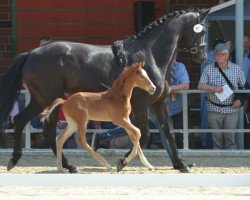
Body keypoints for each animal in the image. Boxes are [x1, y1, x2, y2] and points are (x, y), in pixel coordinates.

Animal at [0, 8, 209, 173]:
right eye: (201, 31)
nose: (202, 56)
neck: (152, 55)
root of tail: (31, 54)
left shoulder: (158, 103)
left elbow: (168, 132)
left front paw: (181, 164)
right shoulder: (141, 103)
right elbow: (144, 133)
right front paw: (122, 162)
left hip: (39, 99)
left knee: (20, 121)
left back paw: (15, 160)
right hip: (50, 98)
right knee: (49, 130)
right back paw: (68, 166)